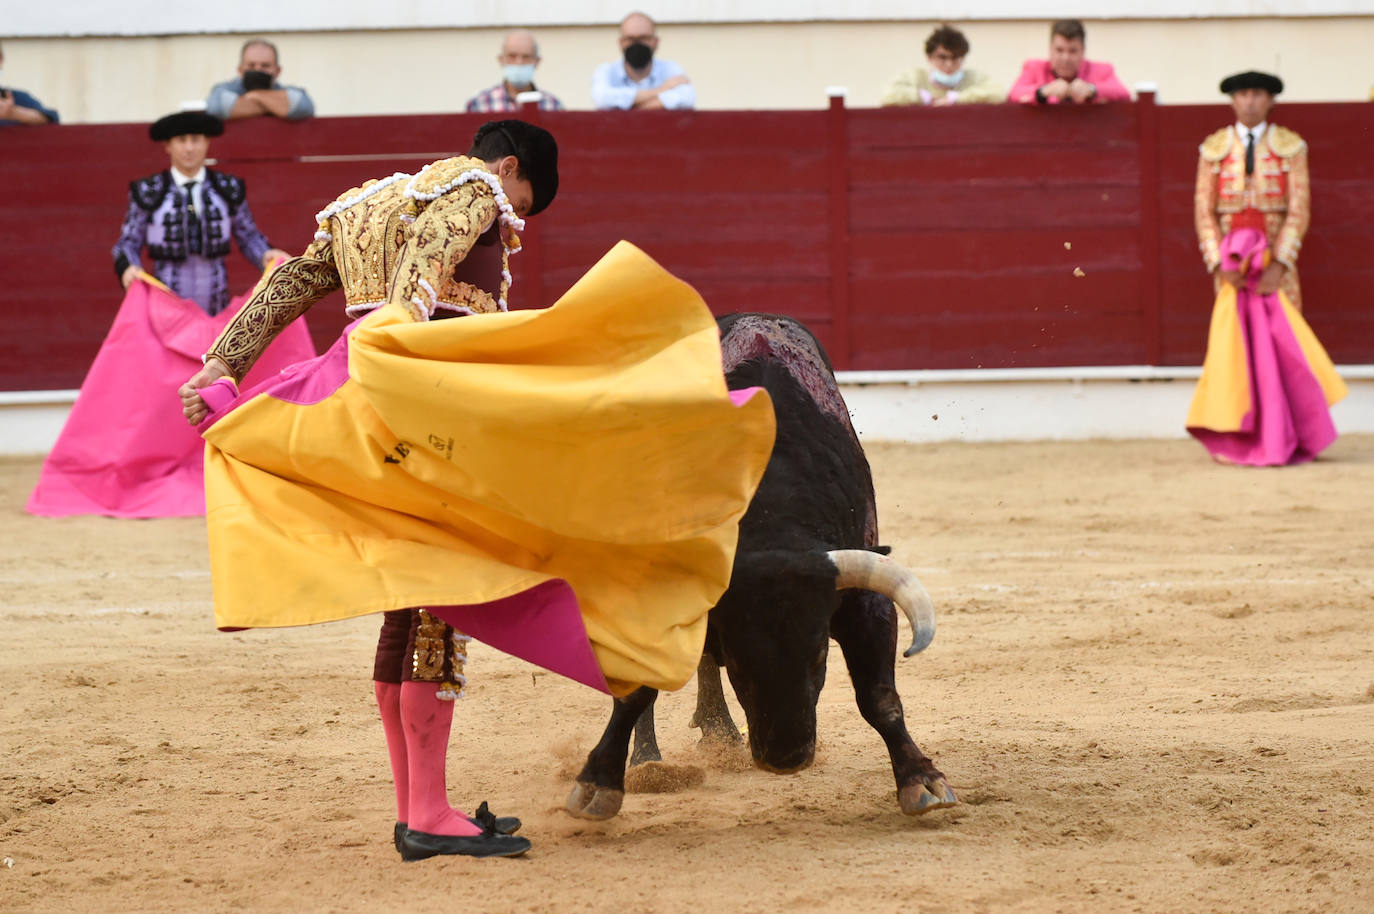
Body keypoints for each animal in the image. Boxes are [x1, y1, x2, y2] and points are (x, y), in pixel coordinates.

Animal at [557, 311, 956, 819]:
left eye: (820, 657)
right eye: (741, 665)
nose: (785, 758)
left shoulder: (863, 599)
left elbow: (878, 697)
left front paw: (921, 780)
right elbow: (637, 691)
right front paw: (599, 781)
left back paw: (718, 729)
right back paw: (651, 759)